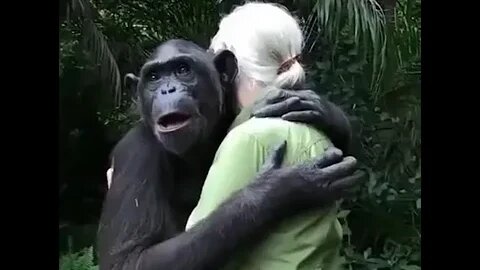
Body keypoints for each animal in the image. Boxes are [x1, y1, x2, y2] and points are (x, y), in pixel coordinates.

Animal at [97, 39, 360, 270]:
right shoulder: (135, 153)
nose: (167, 89)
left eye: (182, 70)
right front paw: (281, 188)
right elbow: (130, 259)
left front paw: (322, 111)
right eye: (154, 77)